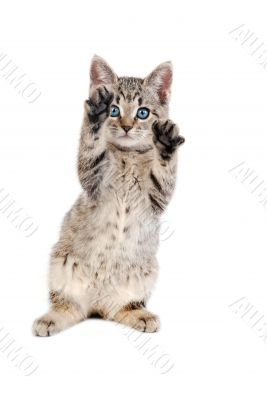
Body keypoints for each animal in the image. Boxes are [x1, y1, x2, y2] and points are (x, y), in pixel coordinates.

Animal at [32, 54, 185, 336]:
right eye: (114, 110)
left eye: (142, 113)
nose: (125, 126)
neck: (128, 156)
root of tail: (98, 304)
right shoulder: (91, 179)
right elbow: (90, 145)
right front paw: (95, 115)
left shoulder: (158, 197)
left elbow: (165, 172)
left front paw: (166, 145)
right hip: (60, 263)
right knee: (67, 305)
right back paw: (51, 319)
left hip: (144, 273)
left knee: (121, 309)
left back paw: (139, 314)